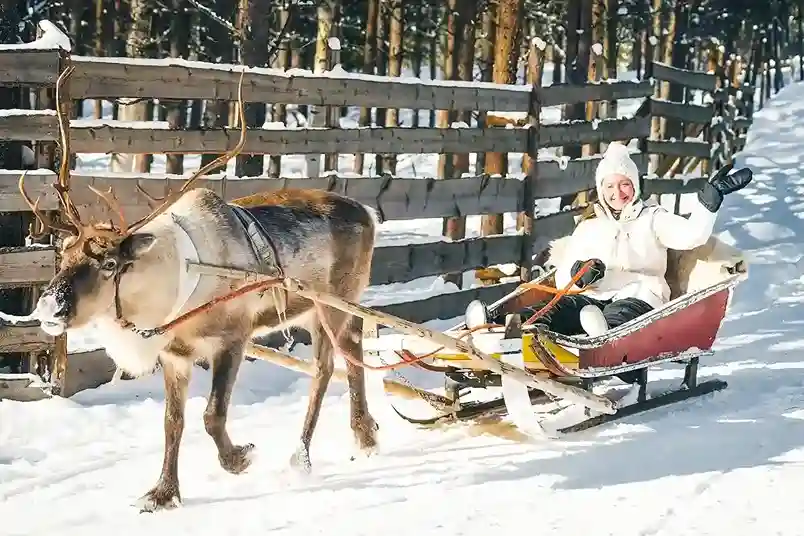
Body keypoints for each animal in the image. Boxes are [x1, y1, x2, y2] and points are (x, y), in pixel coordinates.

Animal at [16, 65, 380, 512]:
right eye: (63, 255)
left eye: (109, 265)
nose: (49, 308)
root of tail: (368, 212)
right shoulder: (175, 355)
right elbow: (173, 422)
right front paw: (163, 492)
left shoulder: (233, 338)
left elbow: (212, 414)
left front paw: (239, 458)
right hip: (323, 308)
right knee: (347, 352)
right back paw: (349, 440)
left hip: (335, 303)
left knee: (333, 363)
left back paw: (317, 452)